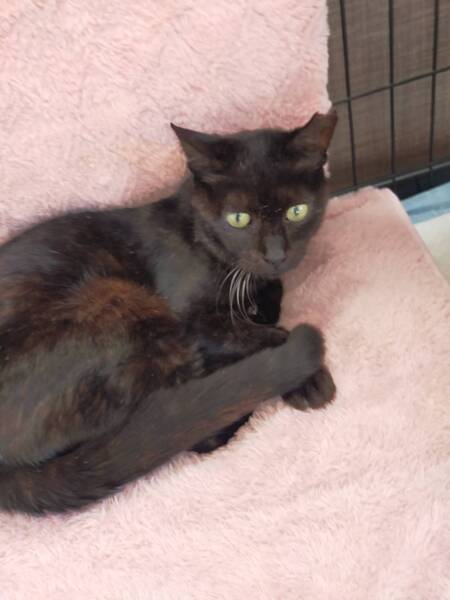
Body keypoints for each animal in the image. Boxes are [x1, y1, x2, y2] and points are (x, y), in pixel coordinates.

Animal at [0, 109, 337, 514]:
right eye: (239, 218)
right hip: (117, 300)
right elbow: (265, 334)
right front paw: (311, 379)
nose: (275, 255)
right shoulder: (192, 322)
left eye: (296, 212)